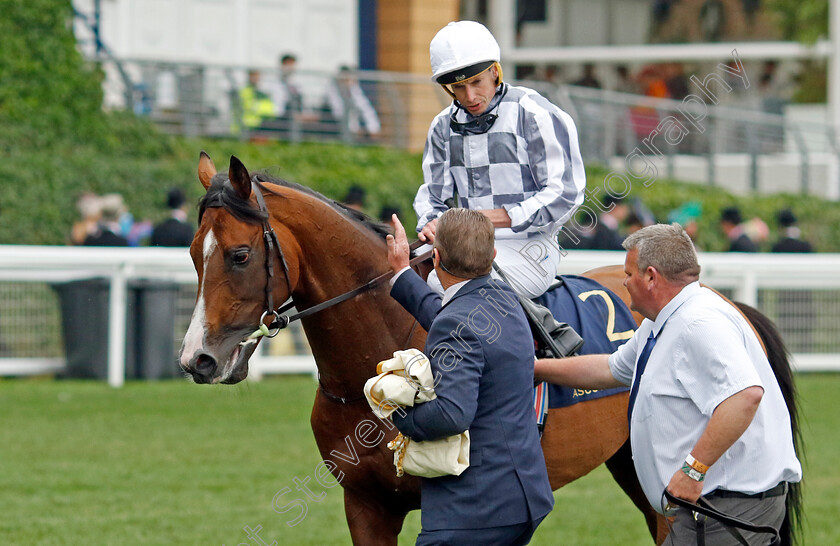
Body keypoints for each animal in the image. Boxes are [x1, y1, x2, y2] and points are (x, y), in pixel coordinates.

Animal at [182, 153, 800, 544]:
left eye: (239, 254)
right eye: (192, 252)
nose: (198, 360)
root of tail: (723, 299)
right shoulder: (367, 507)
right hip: (633, 463)